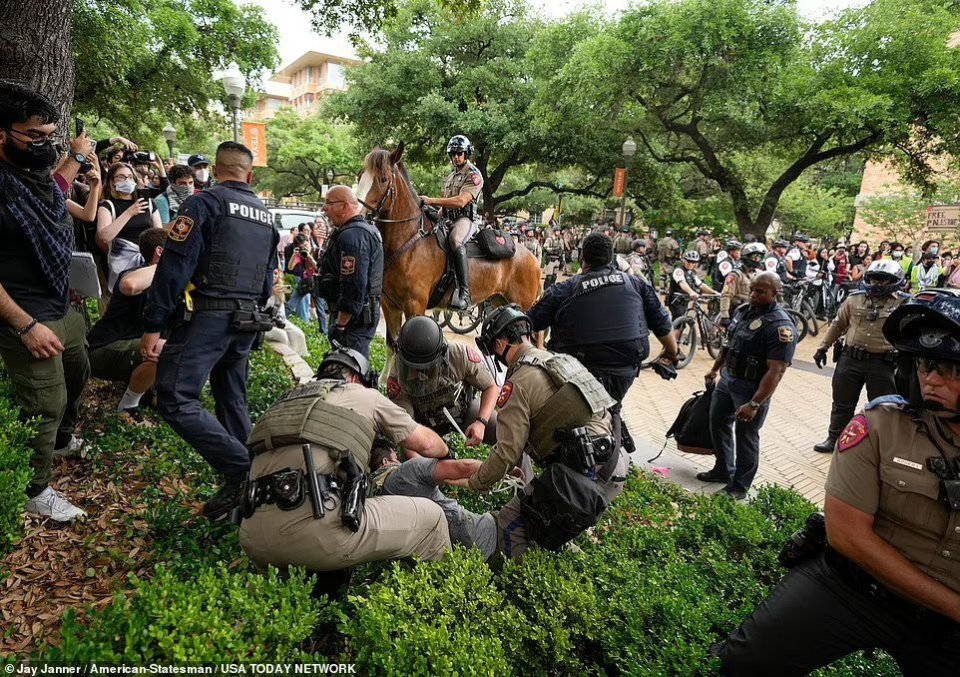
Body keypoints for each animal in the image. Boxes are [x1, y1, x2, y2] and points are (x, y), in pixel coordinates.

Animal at [356, 145, 544, 348]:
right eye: (360, 176)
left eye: (383, 179)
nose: (357, 213)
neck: (409, 242)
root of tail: (534, 259)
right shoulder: (390, 306)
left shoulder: (414, 305)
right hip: (499, 302)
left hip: (521, 306)